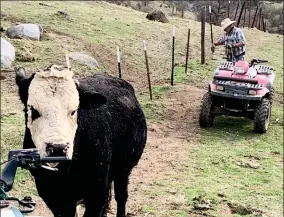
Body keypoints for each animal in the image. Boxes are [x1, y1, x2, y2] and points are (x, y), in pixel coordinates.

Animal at [15, 67, 148, 216]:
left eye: (74, 111)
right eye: (32, 110)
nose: (57, 148)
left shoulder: (97, 191)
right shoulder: (50, 192)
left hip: (124, 169)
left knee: (121, 196)